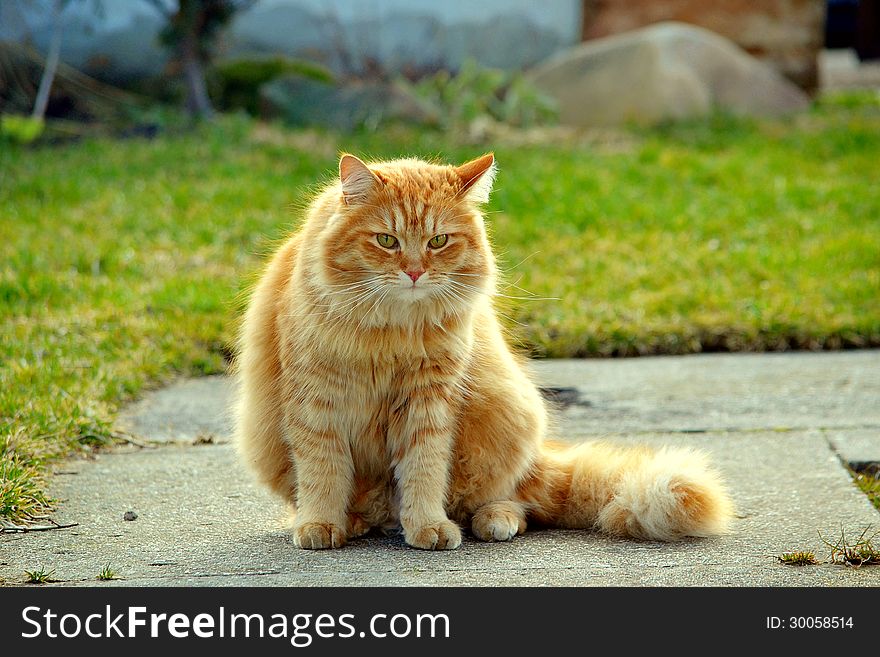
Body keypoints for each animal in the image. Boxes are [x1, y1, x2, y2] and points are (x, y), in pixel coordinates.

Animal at [232, 152, 728, 548]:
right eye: (387, 241)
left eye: (438, 241)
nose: (414, 272)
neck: (392, 333)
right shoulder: (316, 401)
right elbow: (323, 471)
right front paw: (320, 525)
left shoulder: (430, 402)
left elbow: (424, 470)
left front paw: (428, 527)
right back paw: (355, 522)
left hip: (510, 416)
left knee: (515, 503)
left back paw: (492, 520)